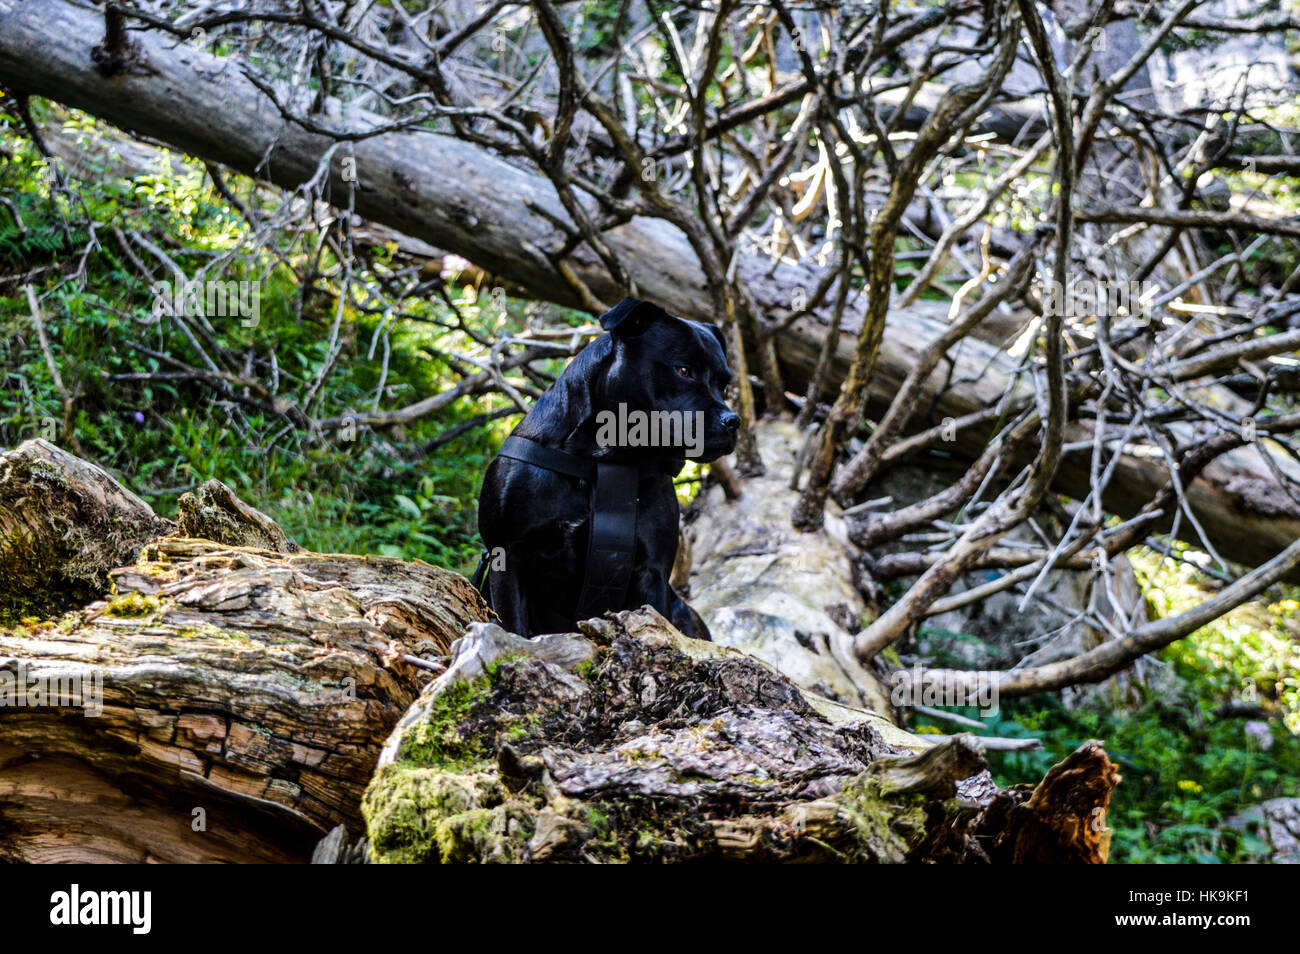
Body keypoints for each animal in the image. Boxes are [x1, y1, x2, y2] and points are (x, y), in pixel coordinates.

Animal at [478, 300, 743, 642]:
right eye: (684, 371)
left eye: (724, 384)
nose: (733, 421)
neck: (606, 459)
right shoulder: (509, 556)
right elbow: (513, 627)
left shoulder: (652, 572)